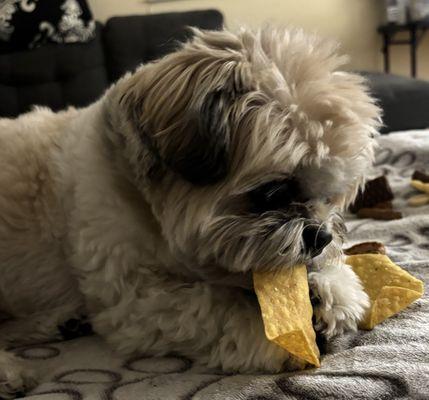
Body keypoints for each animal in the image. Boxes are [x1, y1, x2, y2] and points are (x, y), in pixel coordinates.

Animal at [0, 26, 378, 398]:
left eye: (330, 197)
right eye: (273, 192)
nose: (320, 235)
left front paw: (332, 290)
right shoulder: (136, 297)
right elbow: (218, 306)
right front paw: (284, 336)